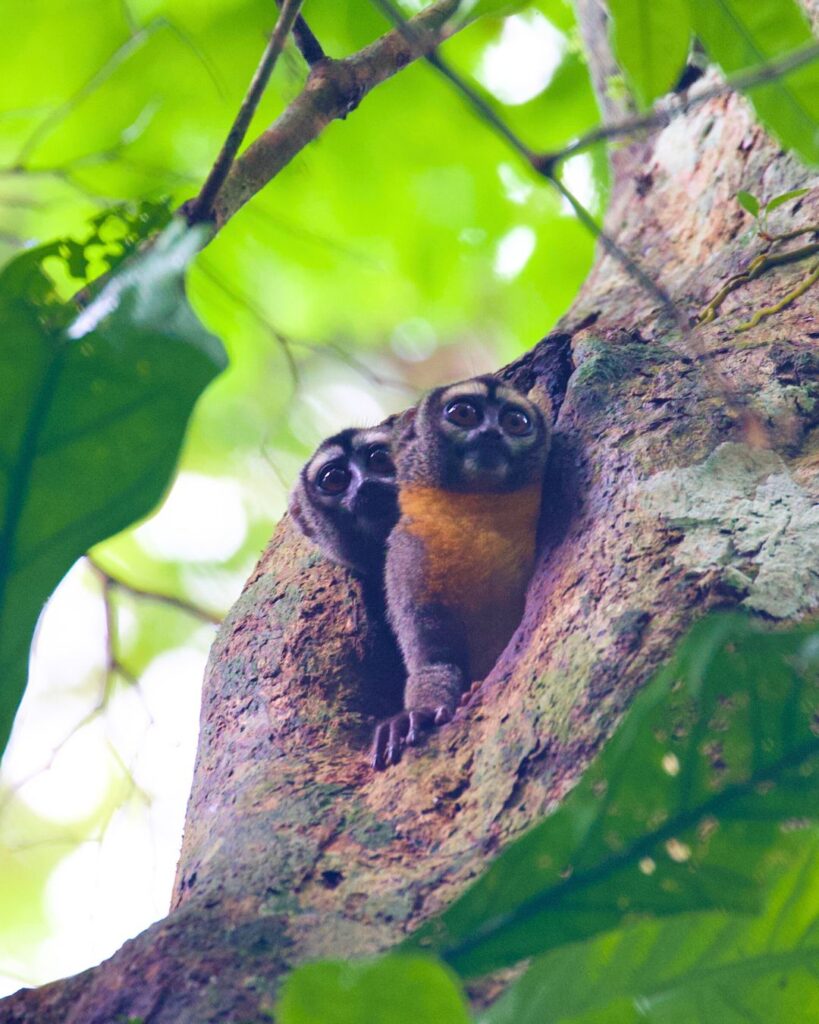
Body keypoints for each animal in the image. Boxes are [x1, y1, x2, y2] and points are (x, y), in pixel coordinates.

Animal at [371, 375, 551, 770]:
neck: (475, 508)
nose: (492, 432)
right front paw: (415, 716)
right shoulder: (406, 549)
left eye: (515, 422)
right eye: (464, 413)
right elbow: (434, 655)